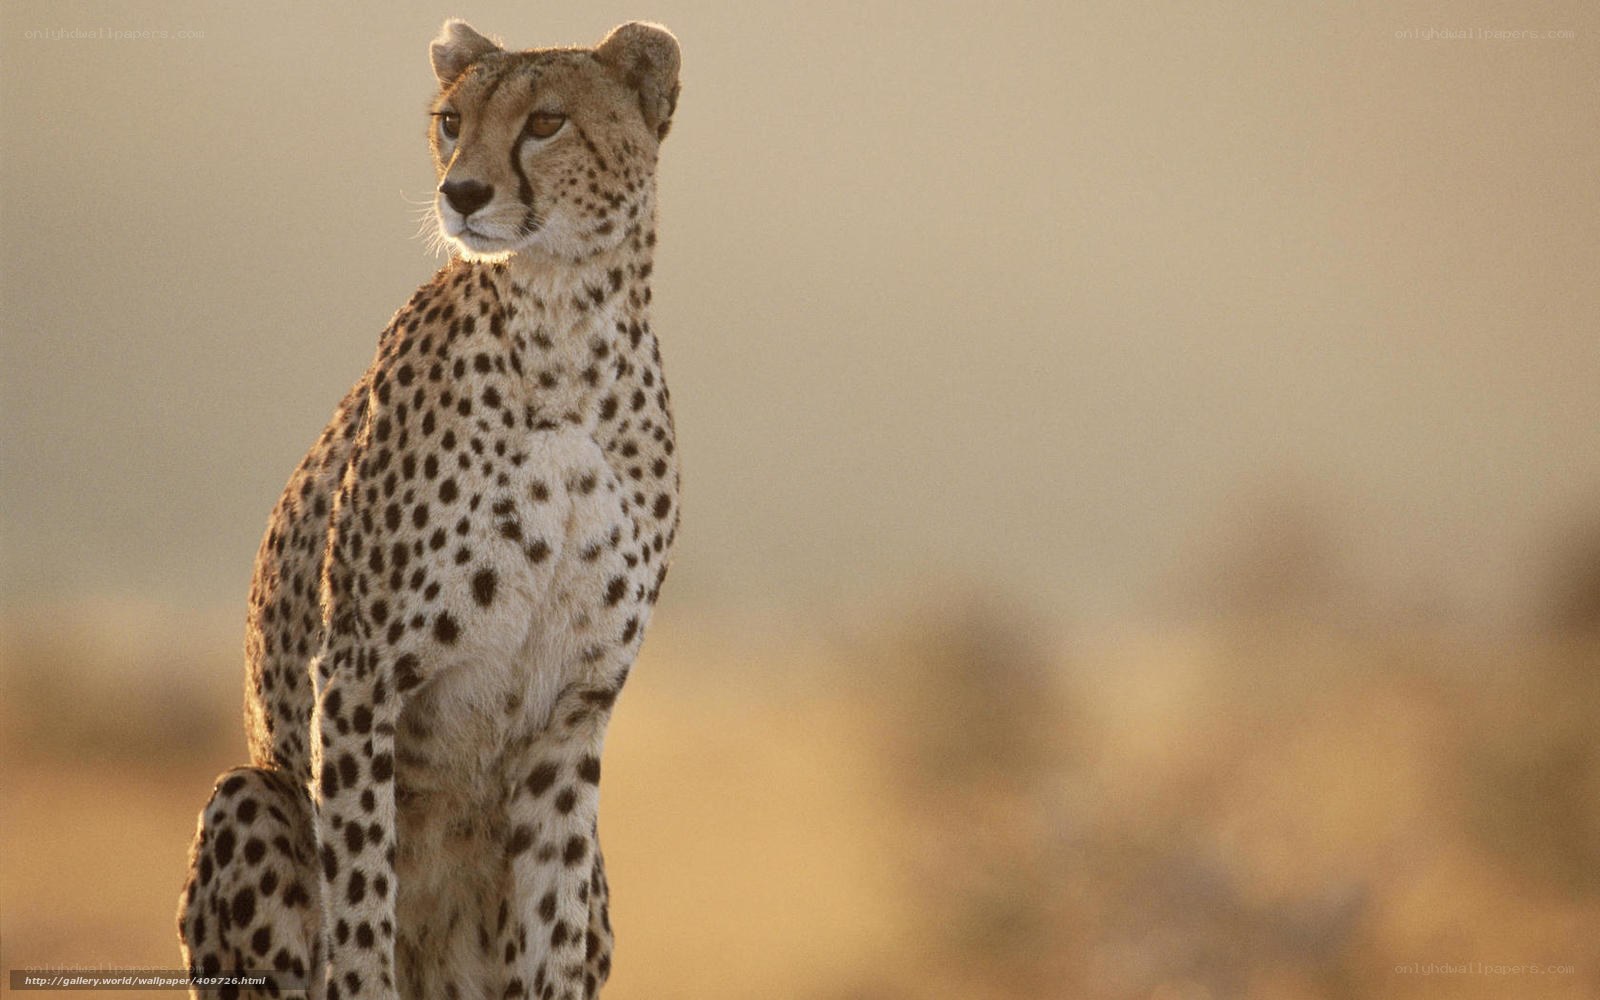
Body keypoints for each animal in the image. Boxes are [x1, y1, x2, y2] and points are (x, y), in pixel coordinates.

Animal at [177, 20, 682, 1000]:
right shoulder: (359, 672)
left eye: (547, 122)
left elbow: (549, 918)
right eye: (452, 120)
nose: (463, 192)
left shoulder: (574, 710)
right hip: (248, 794)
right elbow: (362, 898)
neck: (567, 334)